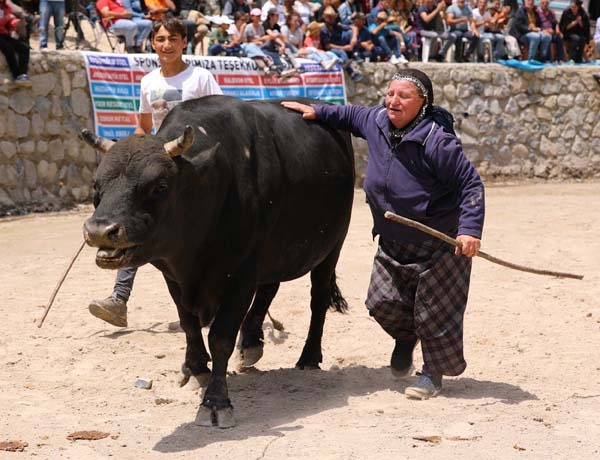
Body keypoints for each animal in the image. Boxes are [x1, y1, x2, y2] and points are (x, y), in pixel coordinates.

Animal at [84, 95, 356, 430]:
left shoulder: (241, 274)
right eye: (96, 186)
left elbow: (221, 337)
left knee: (317, 300)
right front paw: (196, 367)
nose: (100, 230)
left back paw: (308, 357)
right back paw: (251, 343)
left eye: (159, 187)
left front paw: (216, 403)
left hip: (332, 247)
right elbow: (188, 324)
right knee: (269, 289)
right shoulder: (174, 275)